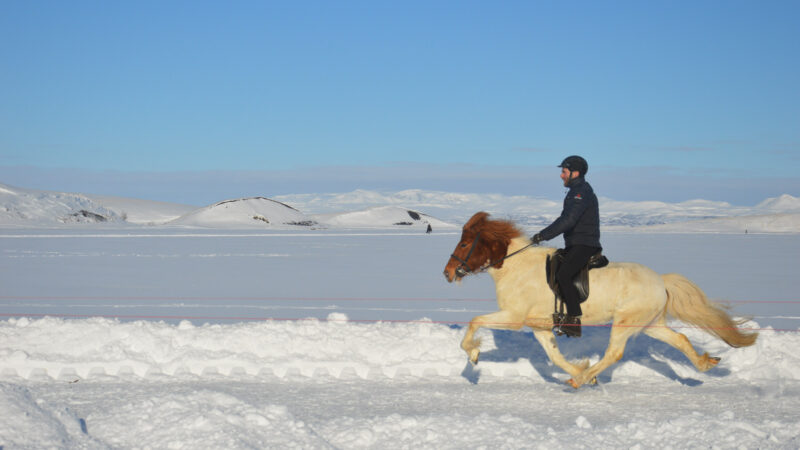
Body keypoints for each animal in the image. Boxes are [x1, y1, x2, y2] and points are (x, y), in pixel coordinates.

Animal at [444, 213, 756, 388]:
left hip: (626, 323)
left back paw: (579, 380)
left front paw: (473, 355)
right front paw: (580, 370)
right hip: (650, 324)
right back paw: (705, 364)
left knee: (614, 353)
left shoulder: (513, 317)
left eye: (464, 243)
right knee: (680, 339)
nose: (447, 273)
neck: (515, 267)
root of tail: (660, 281)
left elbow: (474, 321)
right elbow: (554, 356)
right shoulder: (539, 326)